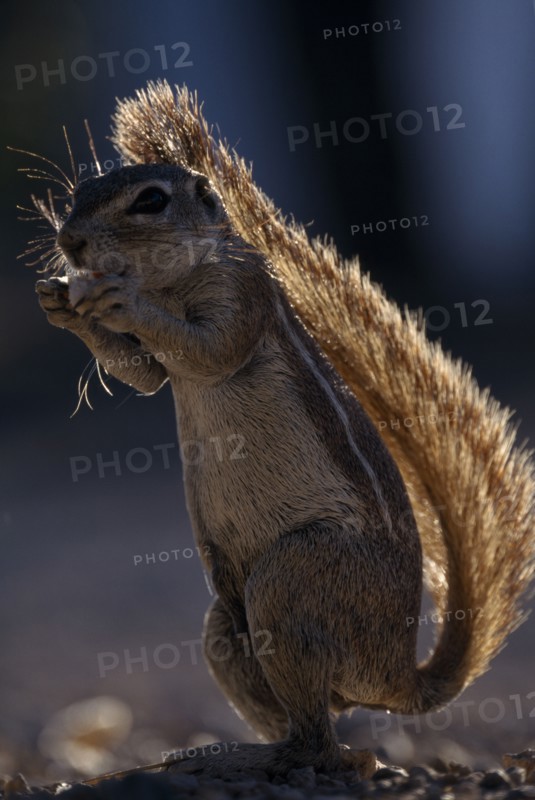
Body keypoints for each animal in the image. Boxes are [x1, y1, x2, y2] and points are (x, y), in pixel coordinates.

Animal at [26, 80, 534, 778]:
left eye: (150, 200)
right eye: (79, 190)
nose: (70, 241)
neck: (175, 278)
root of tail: (397, 677)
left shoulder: (242, 298)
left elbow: (208, 350)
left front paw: (120, 302)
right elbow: (146, 376)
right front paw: (60, 303)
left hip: (292, 581)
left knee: (322, 740)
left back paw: (265, 758)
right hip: (226, 624)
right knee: (319, 723)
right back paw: (228, 750)